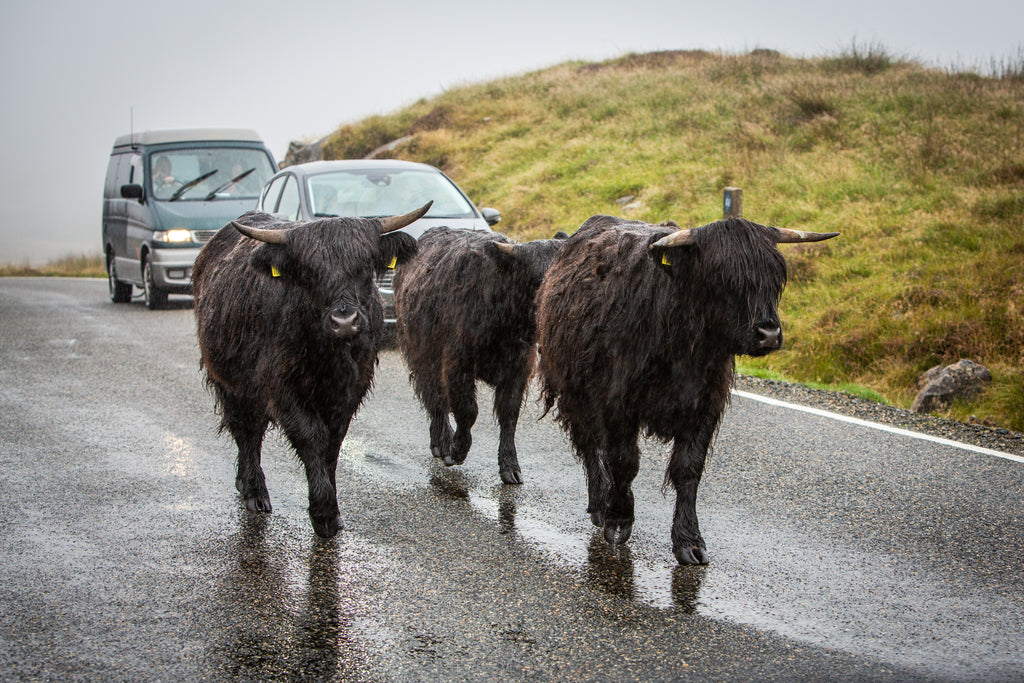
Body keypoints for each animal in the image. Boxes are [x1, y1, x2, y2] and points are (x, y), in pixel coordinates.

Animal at [532, 215, 835, 565]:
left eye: (776, 276)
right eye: (722, 276)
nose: (769, 333)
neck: (685, 347)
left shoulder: (705, 406)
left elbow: (688, 470)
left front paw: (689, 540)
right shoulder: (616, 403)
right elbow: (624, 462)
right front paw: (618, 519)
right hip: (573, 392)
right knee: (590, 446)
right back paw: (598, 504)